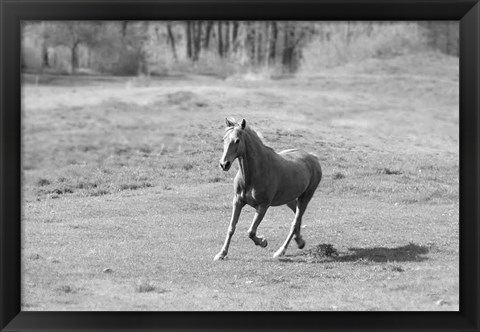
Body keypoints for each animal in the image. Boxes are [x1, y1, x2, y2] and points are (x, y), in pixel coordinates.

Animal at [215, 118, 322, 260]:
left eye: (237, 140)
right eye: (223, 139)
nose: (224, 164)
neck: (253, 174)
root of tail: (313, 157)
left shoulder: (263, 206)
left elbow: (251, 232)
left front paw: (263, 242)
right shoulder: (237, 201)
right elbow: (231, 228)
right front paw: (221, 254)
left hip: (305, 197)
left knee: (294, 222)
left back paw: (281, 251)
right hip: (289, 200)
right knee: (297, 217)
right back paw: (300, 241)